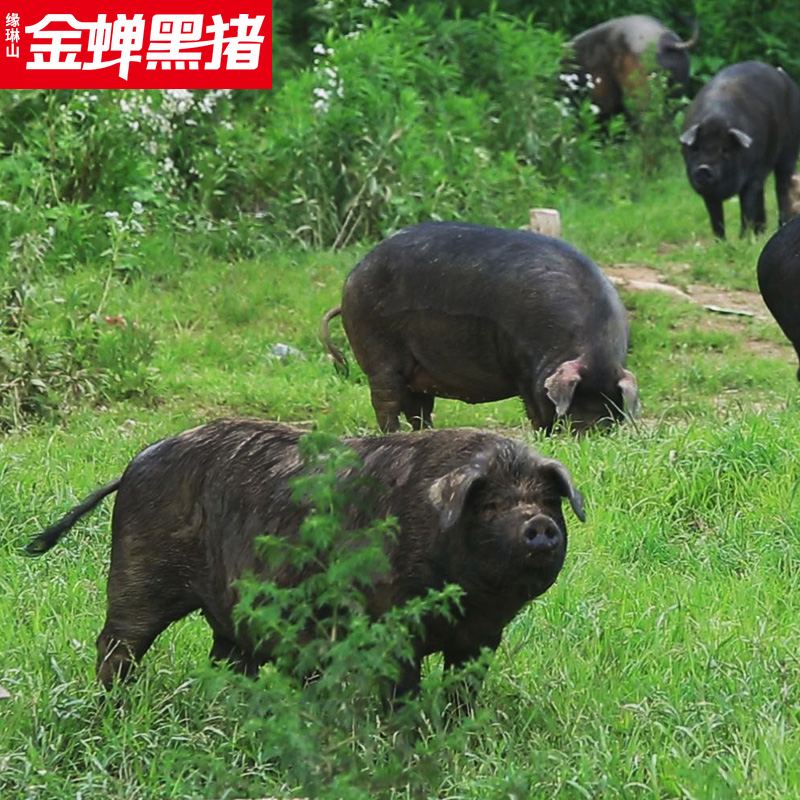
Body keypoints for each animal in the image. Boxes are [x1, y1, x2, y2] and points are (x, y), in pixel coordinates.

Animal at [26, 418, 588, 700]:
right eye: (490, 506)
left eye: (549, 500)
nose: (539, 525)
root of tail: (132, 466)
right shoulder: (390, 622)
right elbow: (402, 686)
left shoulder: (481, 637)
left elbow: (463, 688)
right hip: (139, 570)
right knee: (117, 641)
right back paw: (113, 703)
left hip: (228, 607)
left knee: (226, 656)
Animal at [318, 222, 636, 434]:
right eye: (575, 403)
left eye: (611, 408)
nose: (593, 434)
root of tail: (349, 283)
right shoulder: (522, 367)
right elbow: (534, 407)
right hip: (378, 348)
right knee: (386, 400)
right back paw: (393, 435)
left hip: (418, 367)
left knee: (418, 407)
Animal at [680, 61, 800, 239]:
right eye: (696, 148)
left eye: (725, 149)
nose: (704, 168)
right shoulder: (708, 193)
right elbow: (716, 217)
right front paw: (720, 241)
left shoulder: (751, 177)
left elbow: (746, 209)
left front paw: (743, 239)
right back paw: (761, 233)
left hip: (789, 151)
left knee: (782, 186)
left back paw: (779, 227)